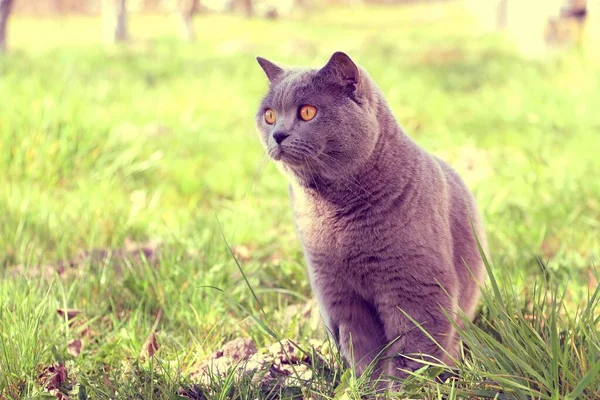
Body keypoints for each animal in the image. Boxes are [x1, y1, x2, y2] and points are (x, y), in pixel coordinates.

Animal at [253, 51, 488, 382]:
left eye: (308, 112)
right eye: (270, 115)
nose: (278, 134)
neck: (335, 214)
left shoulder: (415, 291)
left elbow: (412, 355)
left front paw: (405, 389)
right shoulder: (338, 294)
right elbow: (364, 353)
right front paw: (367, 387)